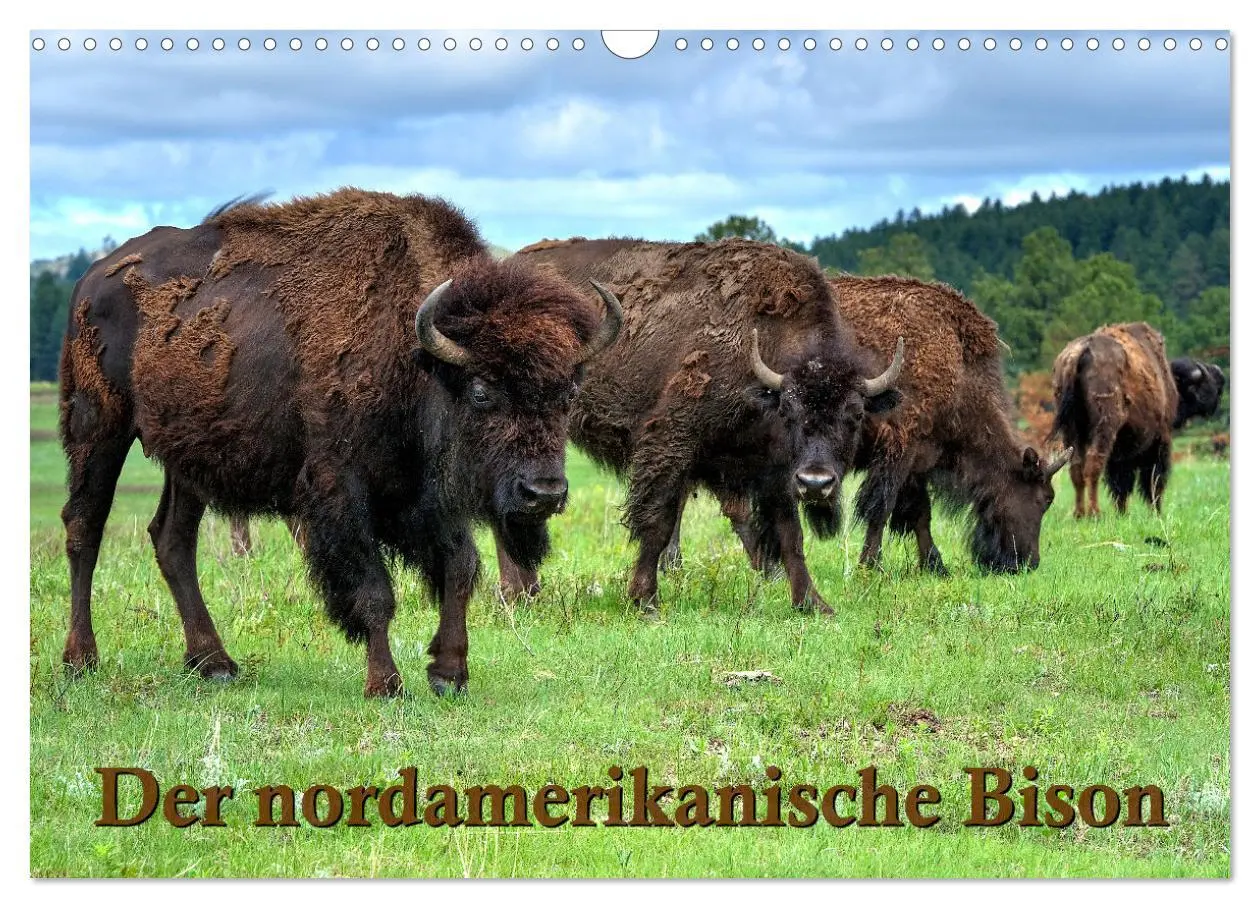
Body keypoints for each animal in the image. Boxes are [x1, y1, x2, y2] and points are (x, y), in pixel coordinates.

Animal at [58, 189, 621, 696]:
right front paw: (385, 684)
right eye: (482, 391)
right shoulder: (341, 489)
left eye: (568, 392)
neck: (416, 357)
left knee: (172, 538)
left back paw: (214, 663)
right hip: (98, 426)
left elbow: (459, 567)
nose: (543, 493)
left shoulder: (427, 493)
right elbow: (374, 591)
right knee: (85, 527)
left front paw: (449, 674)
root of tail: (92, 279)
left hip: (188, 455)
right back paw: (81, 661)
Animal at [494, 238, 905, 614]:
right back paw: (518, 593)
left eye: (855, 415)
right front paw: (645, 600)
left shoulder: (777, 471)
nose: (817, 483)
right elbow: (657, 523)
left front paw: (814, 603)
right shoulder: (672, 442)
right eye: (789, 410)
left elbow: (791, 535)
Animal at [666, 275, 1072, 575]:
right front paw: (870, 566)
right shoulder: (898, 448)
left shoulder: (916, 459)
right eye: (1044, 499)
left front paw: (933, 566)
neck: (957, 361)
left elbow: (919, 512)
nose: (1028, 563)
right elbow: (882, 508)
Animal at [1051, 322, 1224, 518]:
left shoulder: (1121, 453)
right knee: (1094, 466)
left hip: (1071, 430)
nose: (1221, 377)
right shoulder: (1159, 440)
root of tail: (1082, 351)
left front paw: (1122, 513)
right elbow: (1152, 480)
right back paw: (1095, 513)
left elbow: (1120, 484)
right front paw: (1156, 513)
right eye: (1203, 384)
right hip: (1105, 426)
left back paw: (1079, 514)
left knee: (1076, 468)